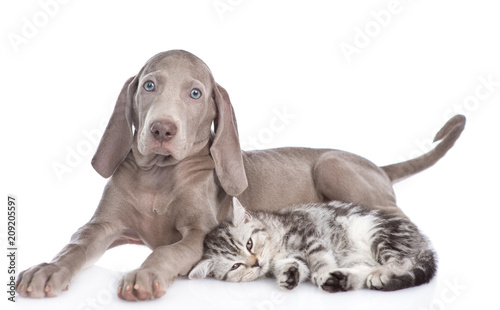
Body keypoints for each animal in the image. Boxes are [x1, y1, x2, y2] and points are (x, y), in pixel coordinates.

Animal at [189, 197, 436, 292]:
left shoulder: (309, 233)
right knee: (363, 271)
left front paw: (322, 271)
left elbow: (319, 256)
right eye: (235, 266)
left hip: (378, 232)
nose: (255, 263)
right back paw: (342, 279)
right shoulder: (291, 256)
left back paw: (381, 273)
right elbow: (295, 265)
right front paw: (289, 274)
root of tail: (423, 241)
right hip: (359, 257)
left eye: (249, 244)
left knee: (402, 261)